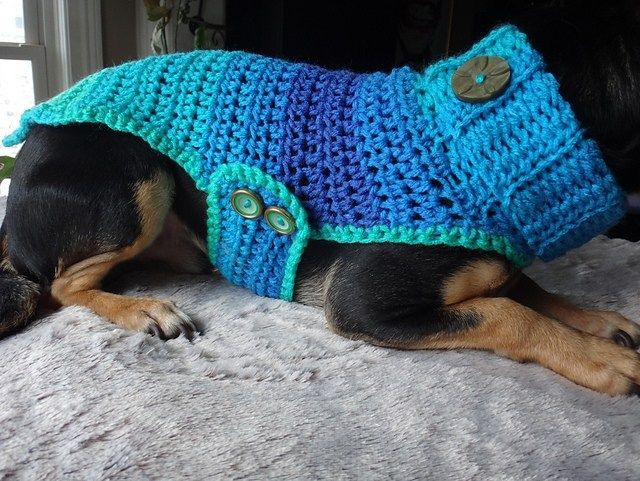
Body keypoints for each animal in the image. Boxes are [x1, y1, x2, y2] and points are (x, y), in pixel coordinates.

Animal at [1, 0, 640, 398]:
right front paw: (599, 357)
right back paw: (144, 310)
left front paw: (599, 323)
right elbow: (509, 311)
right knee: (60, 285)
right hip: (141, 180)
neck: (470, 149)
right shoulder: (362, 304)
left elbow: (525, 287)